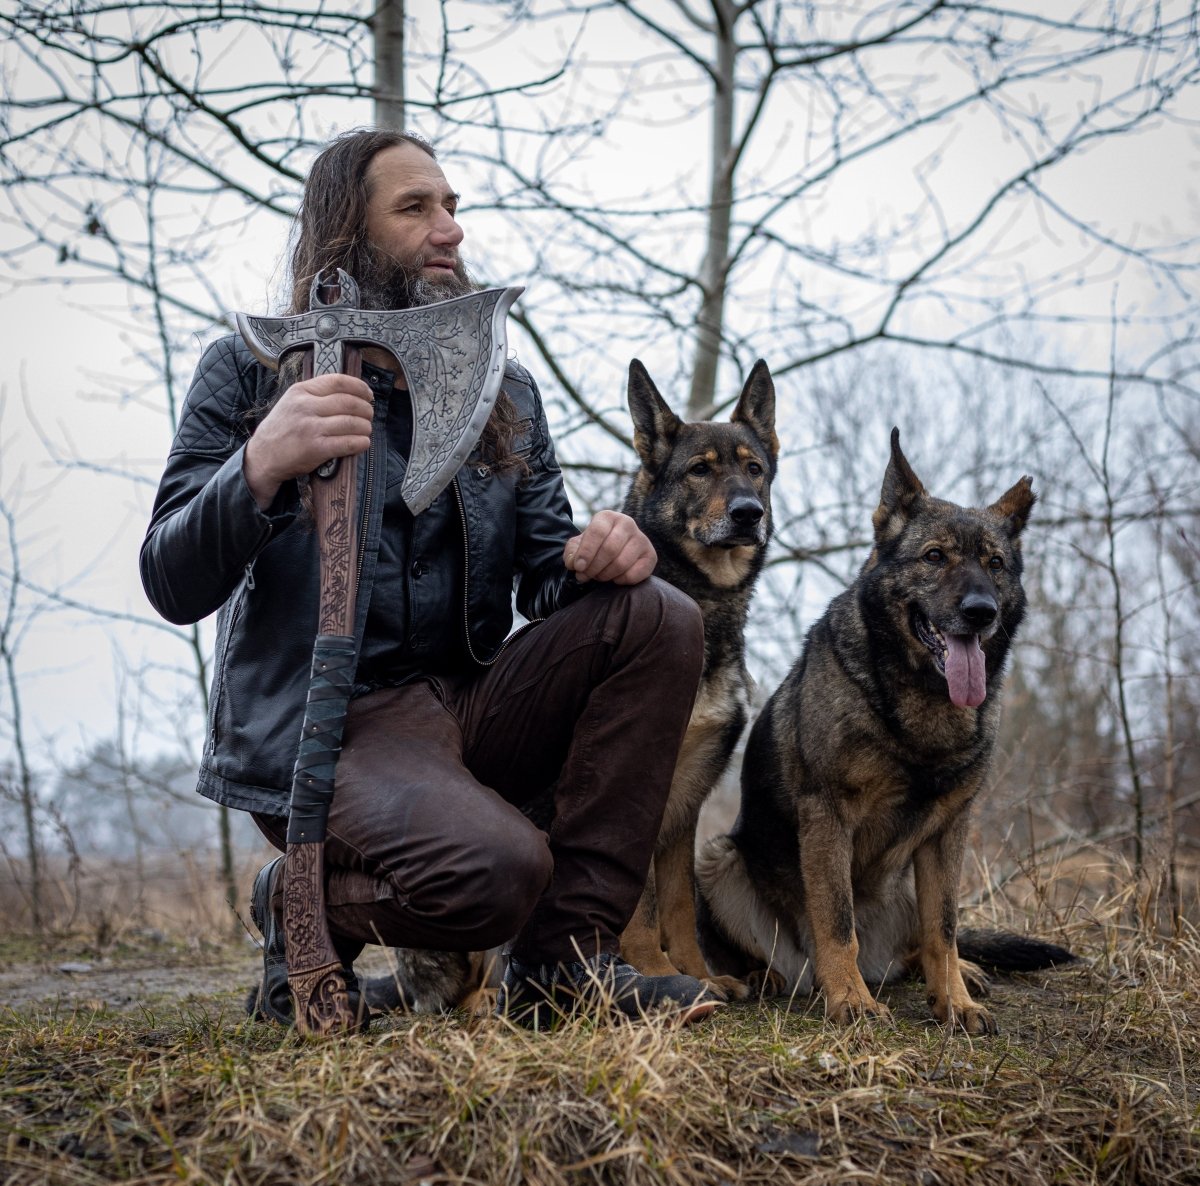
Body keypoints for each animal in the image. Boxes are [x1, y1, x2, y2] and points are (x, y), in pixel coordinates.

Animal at [696, 424, 1080, 1027]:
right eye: (934, 556)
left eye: (995, 563)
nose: (982, 611)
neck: (921, 699)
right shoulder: (828, 815)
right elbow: (836, 921)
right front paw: (850, 999)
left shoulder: (949, 832)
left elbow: (944, 928)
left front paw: (954, 1001)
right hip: (719, 860)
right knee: (789, 953)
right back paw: (771, 977)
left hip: (908, 883)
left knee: (925, 940)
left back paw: (956, 971)